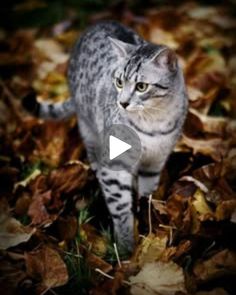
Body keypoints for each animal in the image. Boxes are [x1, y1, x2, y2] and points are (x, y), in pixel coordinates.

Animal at [23, 20, 188, 253]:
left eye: (141, 86)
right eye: (119, 82)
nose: (122, 102)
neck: (153, 124)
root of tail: (98, 23)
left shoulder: (155, 161)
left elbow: (147, 194)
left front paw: (148, 221)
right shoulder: (115, 161)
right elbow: (120, 207)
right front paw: (126, 247)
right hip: (88, 128)